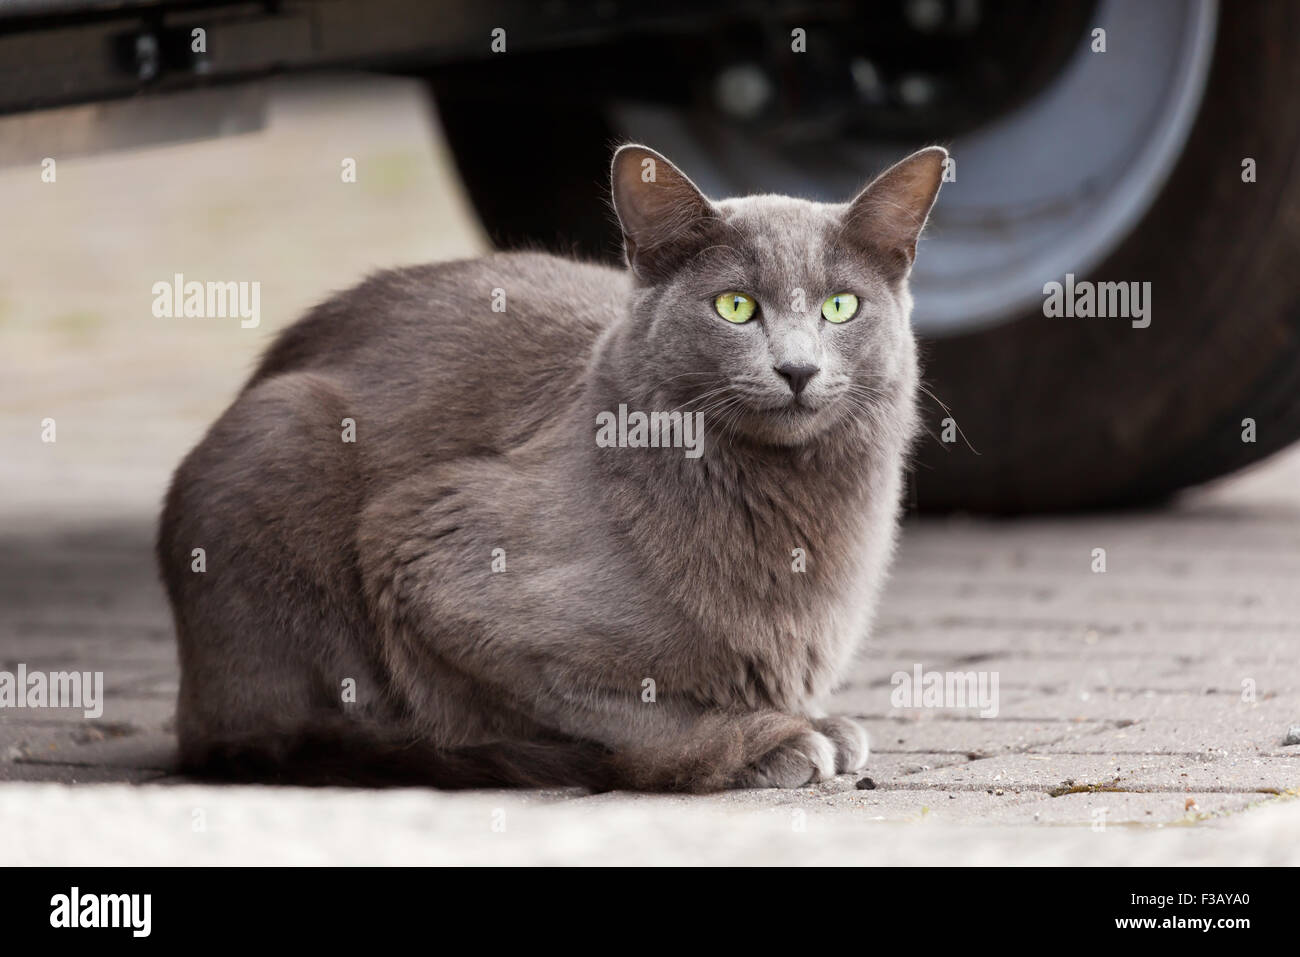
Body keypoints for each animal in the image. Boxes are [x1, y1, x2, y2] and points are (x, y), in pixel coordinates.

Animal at [157, 140, 946, 785]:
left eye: (840, 307)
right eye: (735, 306)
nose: (798, 368)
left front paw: (811, 723)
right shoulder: (425, 554)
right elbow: (627, 708)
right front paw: (762, 742)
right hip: (283, 434)